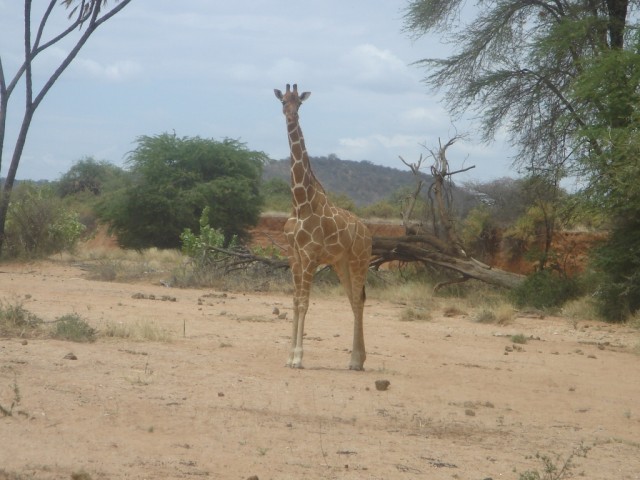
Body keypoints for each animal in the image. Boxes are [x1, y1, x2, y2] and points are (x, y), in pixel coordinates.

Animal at [274, 83, 372, 370]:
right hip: (341, 263)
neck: (299, 202)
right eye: (283, 101)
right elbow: (295, 301)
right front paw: (289, 356)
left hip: (360, 260)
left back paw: (355, 360)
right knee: (354, 299)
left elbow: (305, 303)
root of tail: (368, 233)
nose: (291, 115)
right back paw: (358, 359)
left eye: (300, 103)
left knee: (358, 301)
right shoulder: (294, 256)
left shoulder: (310, 256)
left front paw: (298, 357)